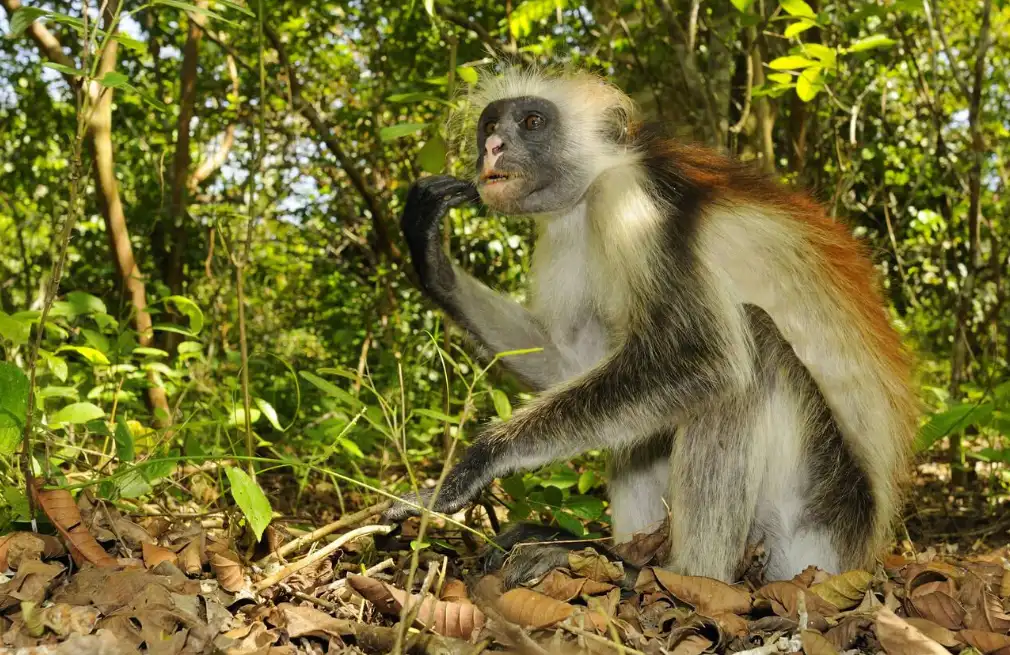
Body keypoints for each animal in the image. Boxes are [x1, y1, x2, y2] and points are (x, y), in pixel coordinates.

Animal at [384, 66, 918, 588]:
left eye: (532, 122)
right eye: (490, 124)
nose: (493, 146)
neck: (598, 177)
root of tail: (863, 553)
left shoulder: (628, 204)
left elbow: (706, 360)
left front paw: (474, 464)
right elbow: (569, 363)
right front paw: (432, 261)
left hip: (819, 508)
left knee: (747, 356)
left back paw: (680, 577)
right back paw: (608, 551)